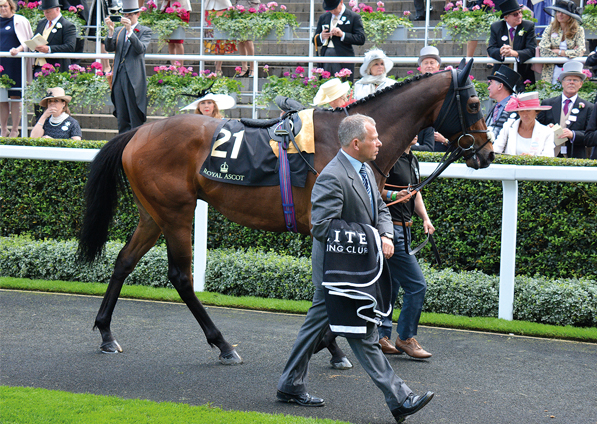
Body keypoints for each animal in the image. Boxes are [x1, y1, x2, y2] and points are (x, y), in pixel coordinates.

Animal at [78, 58, 488, 364]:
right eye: (472, 104)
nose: (486, 153)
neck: (347, 140)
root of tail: (138, 132)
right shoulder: (331, 224)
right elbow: (331, 284)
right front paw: (331, 344)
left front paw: (332, 342)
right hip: (176, 212)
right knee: (180, 276)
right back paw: (223, 344)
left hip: (153, 214)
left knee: (124, 261)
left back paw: (106, 332)